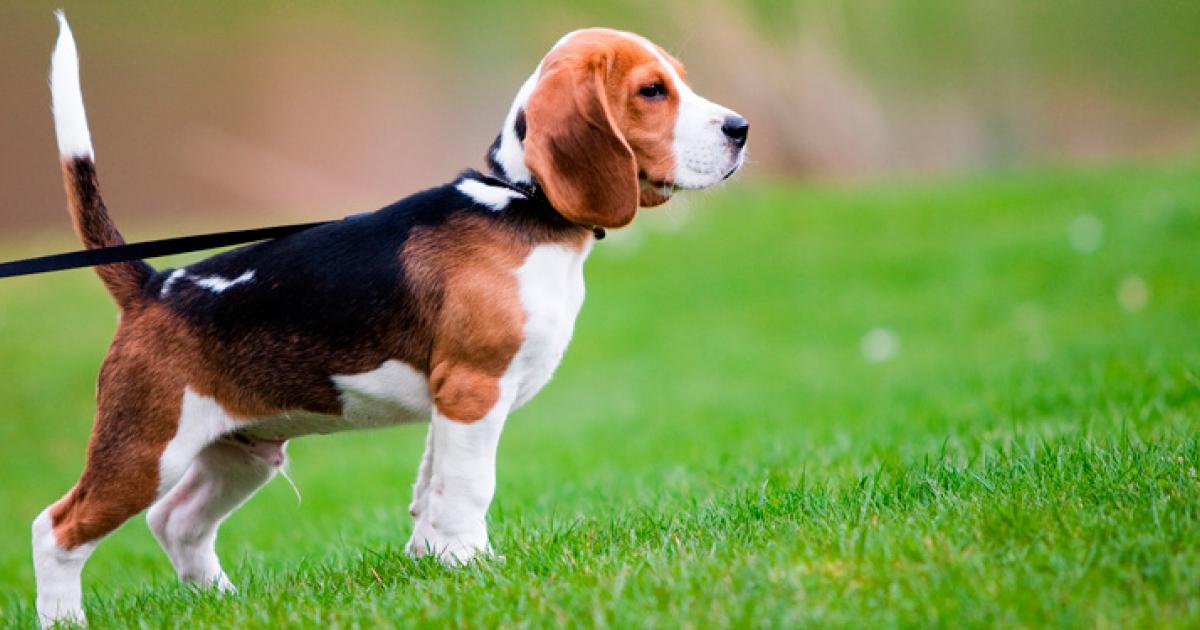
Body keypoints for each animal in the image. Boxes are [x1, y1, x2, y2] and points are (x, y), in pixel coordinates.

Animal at [32, 13, 744, 624]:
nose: (740, 128)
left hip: (242, 452)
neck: (522, 205)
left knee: (176, 523)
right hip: (146, 449)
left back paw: (223, 602)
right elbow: (469, 486)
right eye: (651, 91)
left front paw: (434, 560)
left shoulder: (449, 402)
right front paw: (471, 563)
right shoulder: (473, 390)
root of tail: (155, 285)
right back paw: (64, 618)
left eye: (679, 79)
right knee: (56, 530)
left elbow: (433, 485)